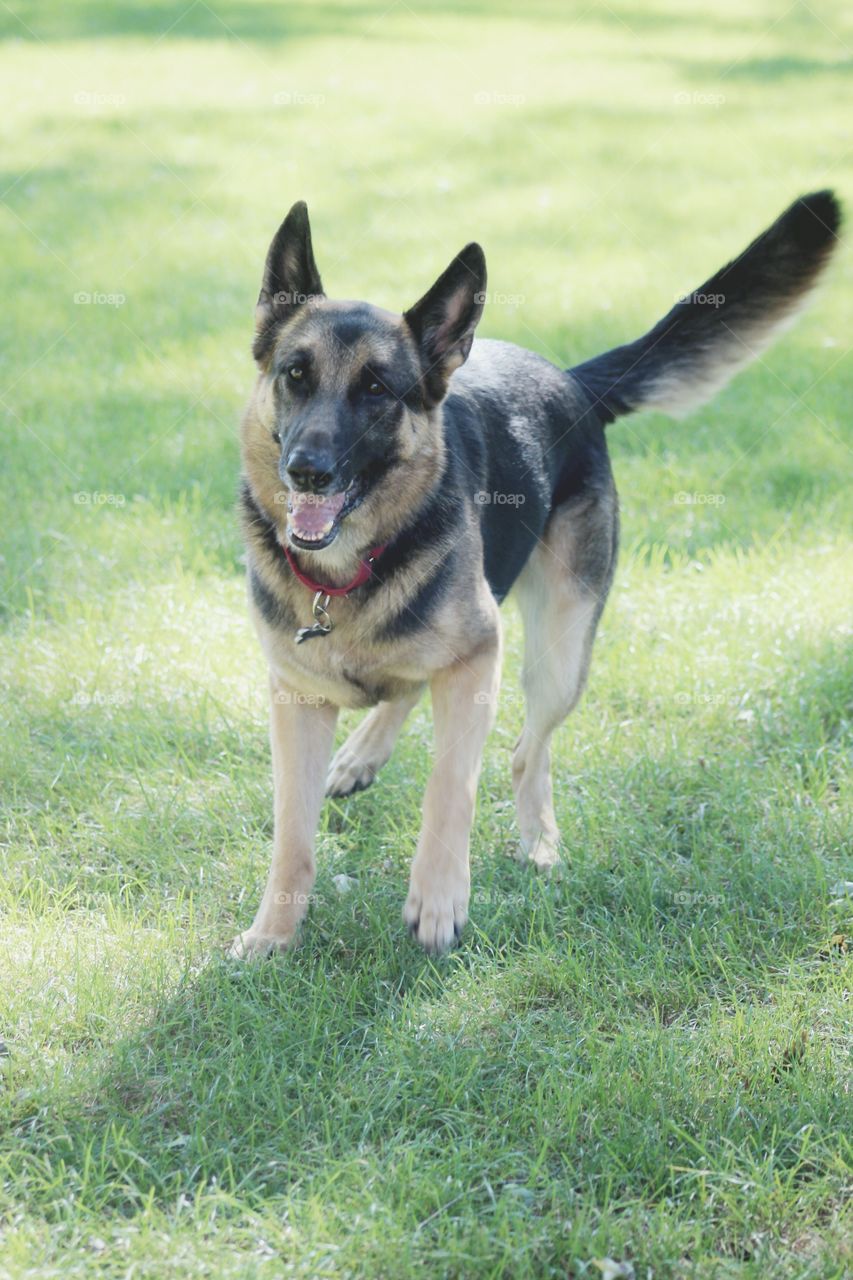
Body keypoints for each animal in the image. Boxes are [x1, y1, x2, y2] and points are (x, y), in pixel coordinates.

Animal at [229, 186, 840, 952]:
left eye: (376, 390)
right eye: (295, 375)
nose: (306, 471)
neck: (350, 570)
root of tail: (571, 384)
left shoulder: (474, 664)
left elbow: (450, 787)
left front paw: (439, 899)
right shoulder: (298, 700)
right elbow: (292, 833)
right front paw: (273, 934)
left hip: (557, 652)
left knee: (526, 749)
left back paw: (538, 839)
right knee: (408, 689)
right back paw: (364, 753)